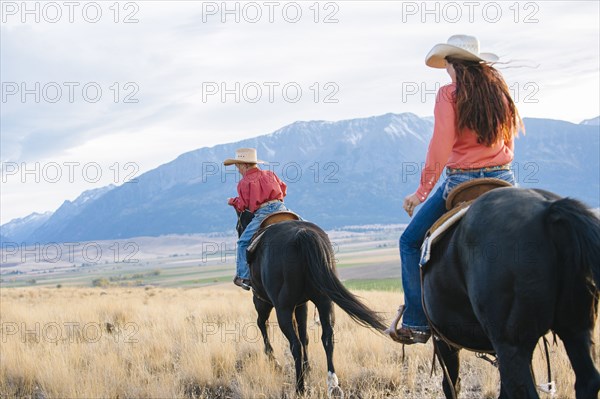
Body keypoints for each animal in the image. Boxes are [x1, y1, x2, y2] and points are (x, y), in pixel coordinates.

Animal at [234, 211, 384, 396]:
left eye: (238, 226)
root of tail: (302, 235)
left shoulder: (262, 300)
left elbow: (263, 324)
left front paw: (274, 361)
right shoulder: (301, 305)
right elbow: (304, 335)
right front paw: (308, 368)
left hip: (282, 308)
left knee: (294, 344)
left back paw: (300, 387)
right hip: (324, 302)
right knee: (327, 337)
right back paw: (332, 385)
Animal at [422, 188, 600, 399]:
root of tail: (548, 210)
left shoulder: (446, 341)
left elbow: (451, 384)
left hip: (511, 344)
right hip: (576, 328)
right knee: (588, 380)